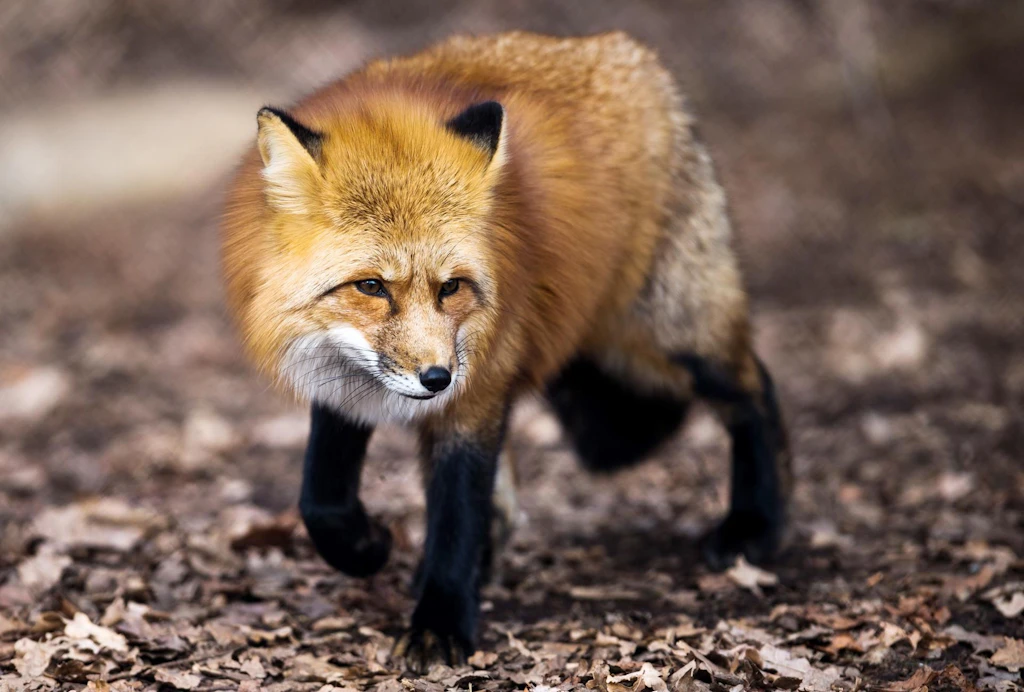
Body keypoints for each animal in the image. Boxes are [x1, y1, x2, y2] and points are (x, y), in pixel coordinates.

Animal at [221, 31, 790, 670]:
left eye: (450, 287)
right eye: (371, 286)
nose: (437, 378)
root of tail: (630, 53)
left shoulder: (476, 392)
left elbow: (457, 514)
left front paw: (440, 623)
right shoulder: (342, 374)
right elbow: (322, 499)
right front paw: (368, 547)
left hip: (669, 336)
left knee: (755, 391)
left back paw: (755, 525)